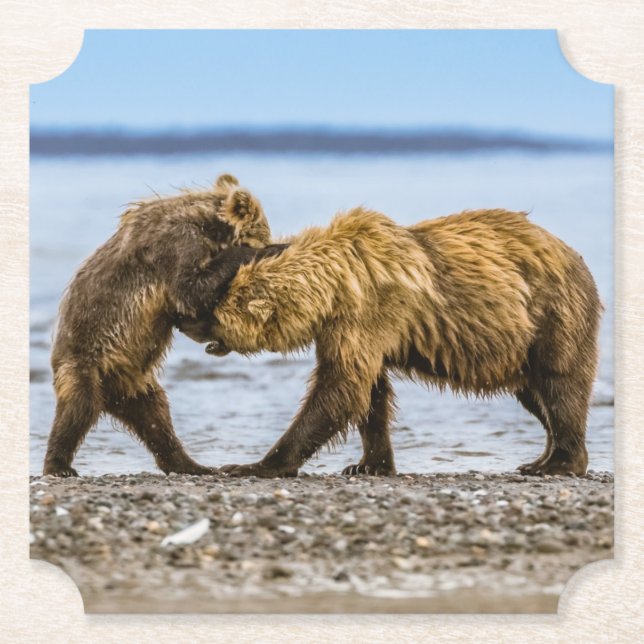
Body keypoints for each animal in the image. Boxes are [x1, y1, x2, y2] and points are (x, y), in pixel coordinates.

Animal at [43, 173, 283, 477]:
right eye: (265, 233)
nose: (271, 241)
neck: (208, 227)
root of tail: (111, 396)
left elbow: (191, 305)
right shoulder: (176, 246)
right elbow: (190, 290)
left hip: (134, 380)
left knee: (156, 417)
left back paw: (193, 465)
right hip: (84, 361)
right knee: (78, 407)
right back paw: (59, 465)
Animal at [177, 207, 602, 478]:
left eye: (211, 307)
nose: (181, 321)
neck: (334, 285)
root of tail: (575, 256)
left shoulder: (370, 310)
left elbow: (340, 387)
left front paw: (253, 464)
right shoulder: (349, 327)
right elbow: (370, 393)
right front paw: (368, 464)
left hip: (552, 315)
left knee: (560, 385)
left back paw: (559, 463)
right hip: (522, 345)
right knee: (534, 394)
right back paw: (541, 459)